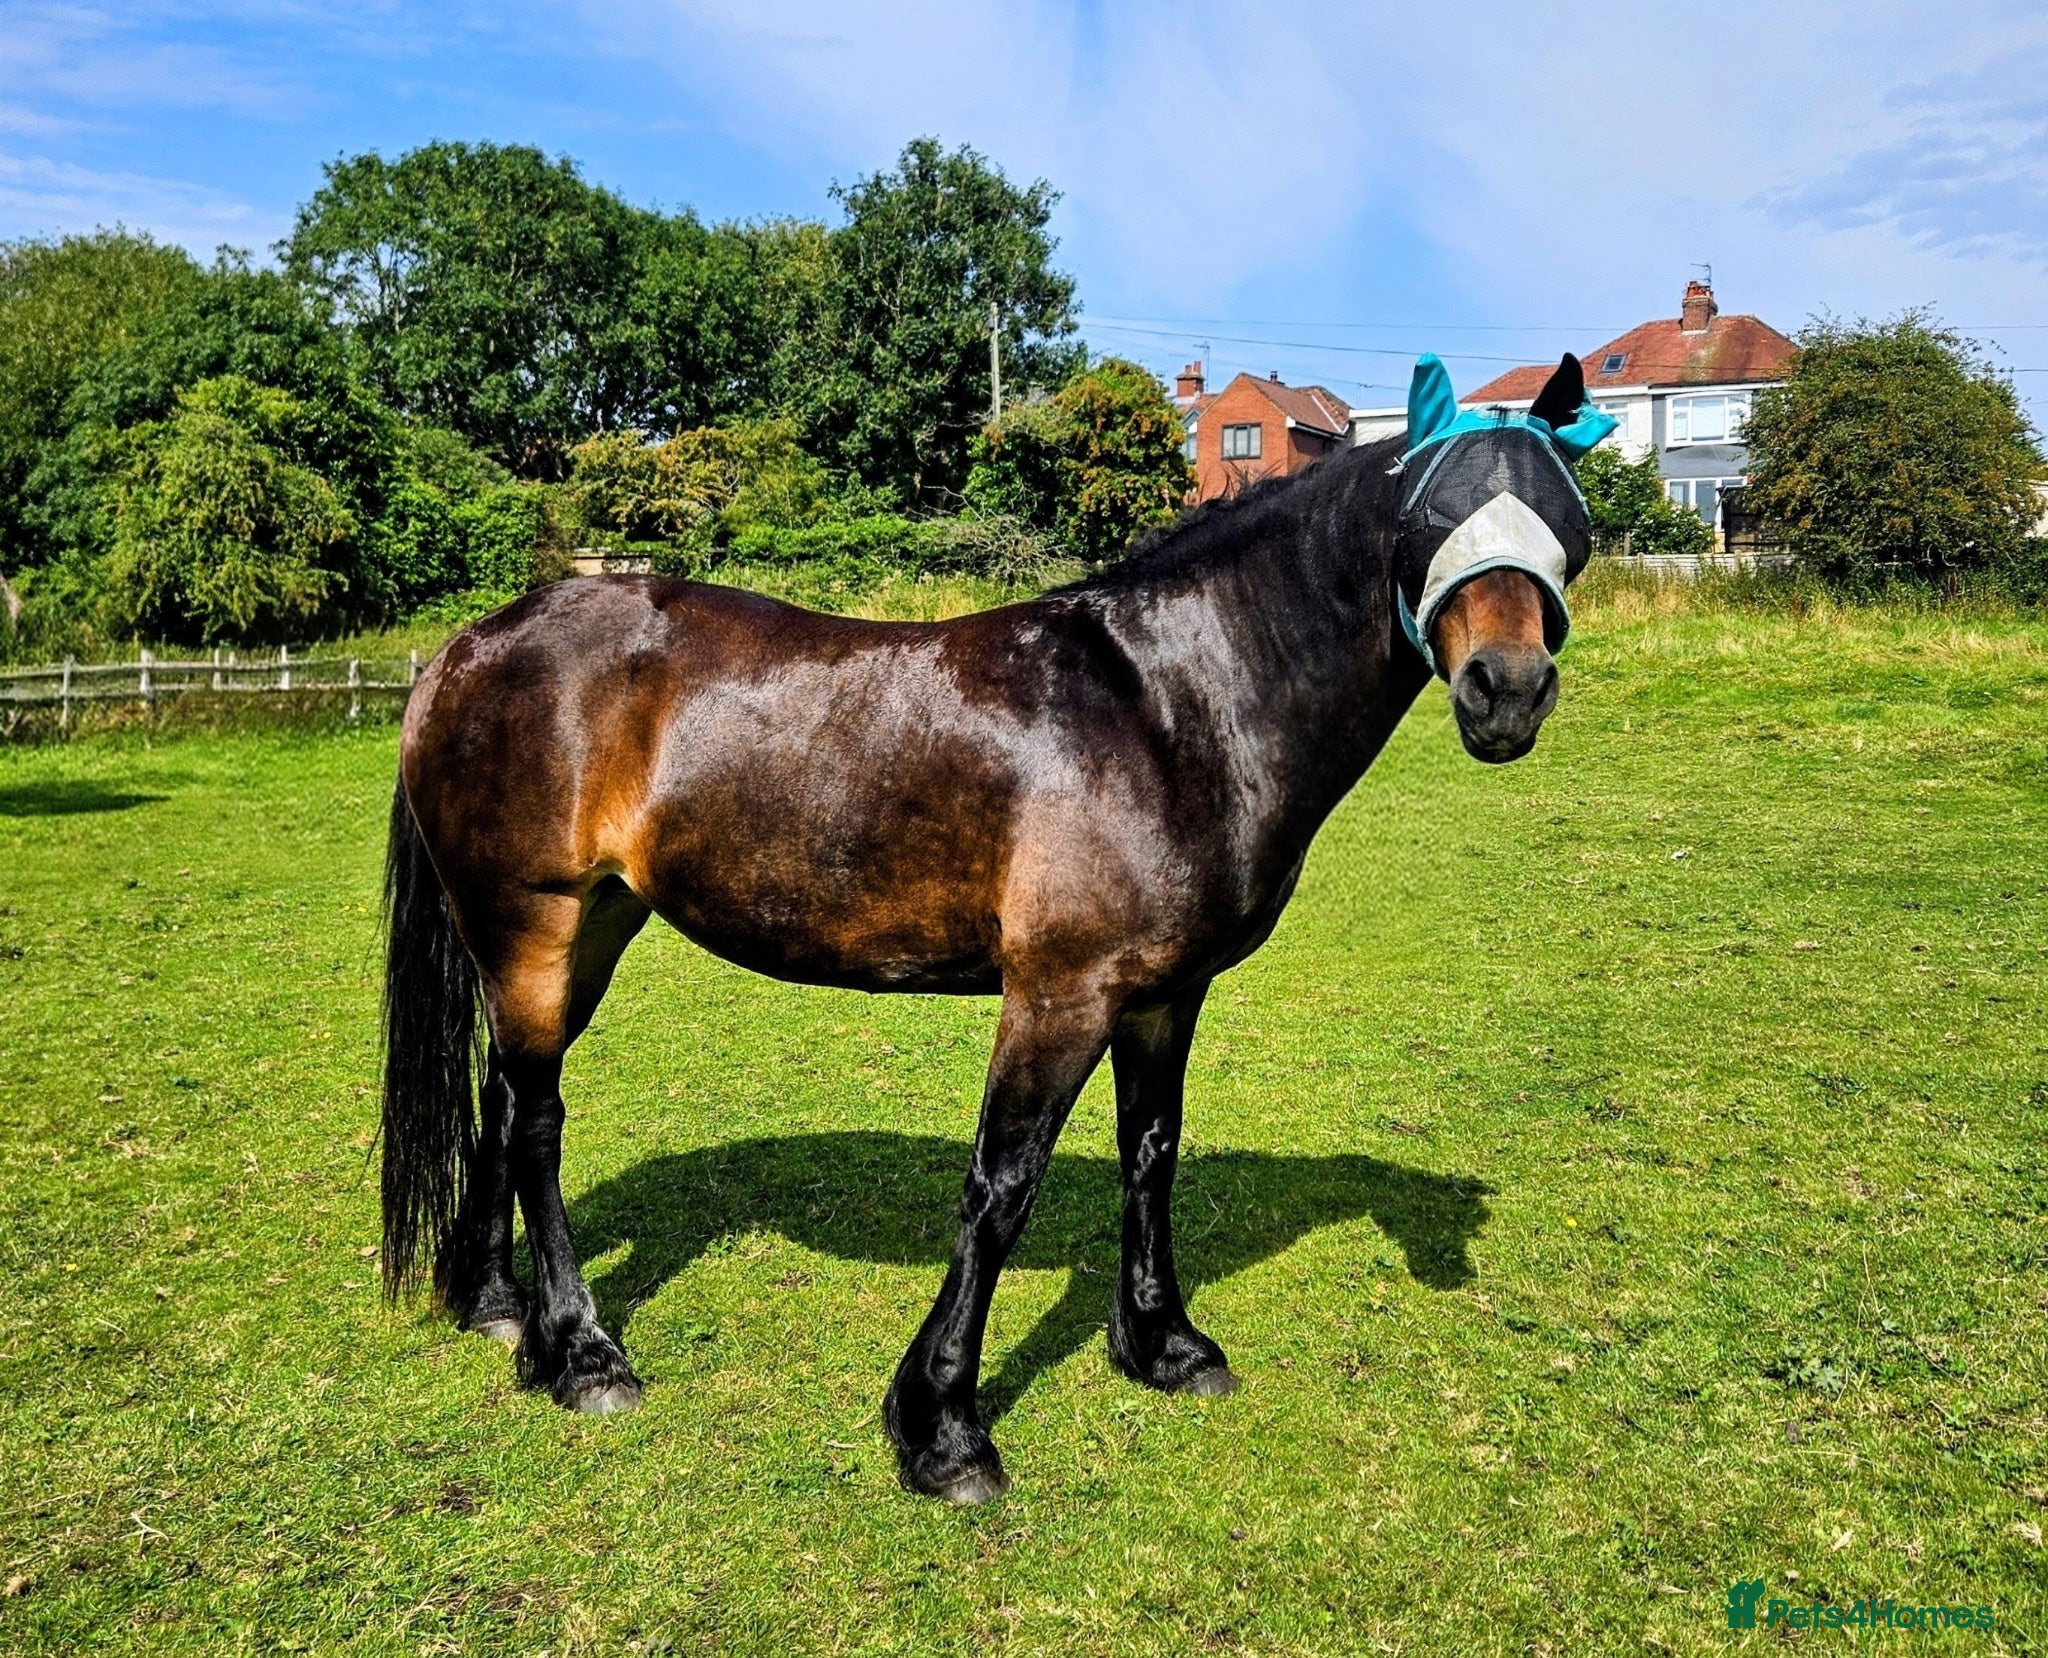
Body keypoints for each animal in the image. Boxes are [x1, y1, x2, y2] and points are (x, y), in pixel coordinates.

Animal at [379, 352, 1607, 1504]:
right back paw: (583, 1352)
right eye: (1431, 516)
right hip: (532, 925)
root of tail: (468, 647)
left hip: (589, 928)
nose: (1505, 689)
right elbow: (1001, 1187)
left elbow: (1150, 1152)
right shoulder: (1059, 993)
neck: (1170, 707)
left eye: (1566, 521)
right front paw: (941, 1428)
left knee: (503, 1098)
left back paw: (499, 1308)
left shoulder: (1163, 994)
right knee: (538, 1123)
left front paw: (1162, 1344)